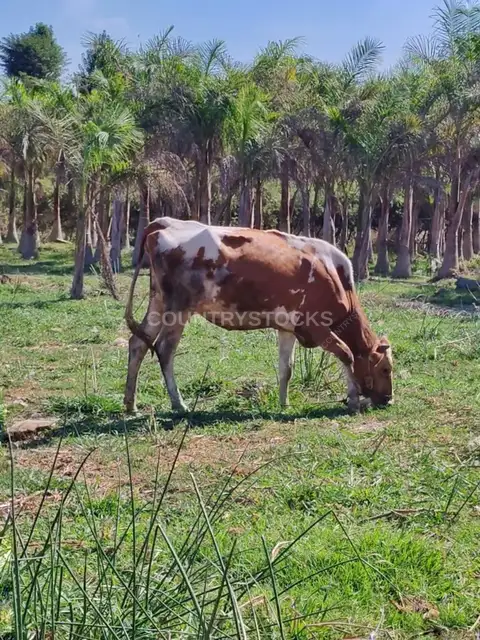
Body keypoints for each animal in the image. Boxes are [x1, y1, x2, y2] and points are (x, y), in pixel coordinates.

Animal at [124, 217, 393, 414]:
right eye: (385, 369)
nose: (389, 399)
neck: (334, 276)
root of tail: (165, 222)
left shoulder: (288, 327)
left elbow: (287, 368)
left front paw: (284, 404)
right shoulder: (315, 326)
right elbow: (347, 354)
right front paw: (353, 399)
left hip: (158, 302)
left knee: (138, 343)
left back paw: (130, 404)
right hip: (178, 310)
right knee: (164, 350)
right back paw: (178, 404)